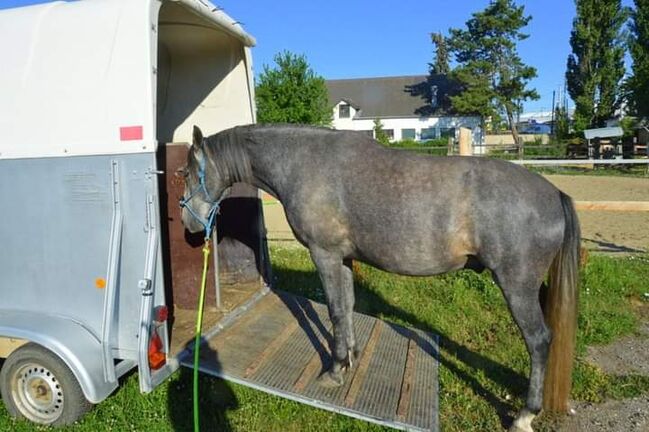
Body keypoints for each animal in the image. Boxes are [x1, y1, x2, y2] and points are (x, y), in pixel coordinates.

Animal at [180, 123, 580, 430]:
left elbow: (335, 311)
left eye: (184, 174)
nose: (188, 227)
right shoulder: (342, 258)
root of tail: (555, 193)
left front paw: (334, 371)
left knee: (538, 340)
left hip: (517, 286)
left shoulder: (324, 254)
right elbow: (347, 307)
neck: (303, 163)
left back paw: (525, 415)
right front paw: (350, 359)